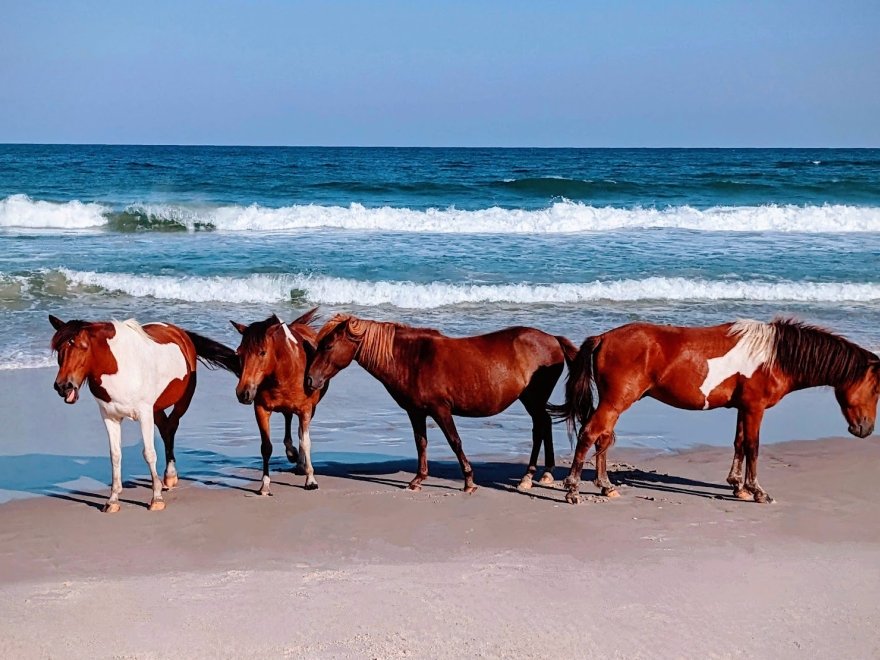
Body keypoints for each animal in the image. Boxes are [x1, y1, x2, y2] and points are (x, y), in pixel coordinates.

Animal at [48, 318, 241, 512]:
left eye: (83, 347)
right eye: (59, 349)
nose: (63, 386)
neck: (119, 367)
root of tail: (179, 332)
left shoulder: (145, 413)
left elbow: (149, 453)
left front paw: (156, 499)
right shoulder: (110, 417)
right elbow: (115, 455)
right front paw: (113, 500)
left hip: (182, 401)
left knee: (172, 427)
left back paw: (170, 476)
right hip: (157, 409)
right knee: (166, 429)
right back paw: (168, 477)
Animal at [230, 306, 330, 492]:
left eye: (262, 352)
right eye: (238, 352)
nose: (243, 392)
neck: (285, 369)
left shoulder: (306, 410)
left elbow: (305, 441)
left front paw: (311, 480)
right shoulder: (261, 409)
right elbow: (266, 447)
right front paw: (265, 485)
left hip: (310, 409)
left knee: (299, 432)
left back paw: (300, 464)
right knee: (288, 419)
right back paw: (292, 454)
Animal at [302, 314, 576, 490]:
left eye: (328, 346)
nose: (309, 380)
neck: (412, 359)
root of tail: (552, 339)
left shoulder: (440, 410)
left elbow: (455, 441)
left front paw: (469, 481)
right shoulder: (416, 412)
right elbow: (421, 443)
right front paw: (418, 479)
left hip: (533, 399)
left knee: (540, 428)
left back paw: (530, 476)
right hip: (531, 401)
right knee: (544, 425)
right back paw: (543, 473)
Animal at [552, 320, 880, 506]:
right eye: (876, 388)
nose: (865, 429)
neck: (774, 356)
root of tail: (604, 338)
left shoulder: (743, 408)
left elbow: (739, 444)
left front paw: (737, 486)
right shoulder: (755, 408)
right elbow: (753, 447)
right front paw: (757, 491)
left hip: (615, 403)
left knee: (603, 438)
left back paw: (606, 486)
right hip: (615, 401)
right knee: (590, 434)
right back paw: (572, 490)